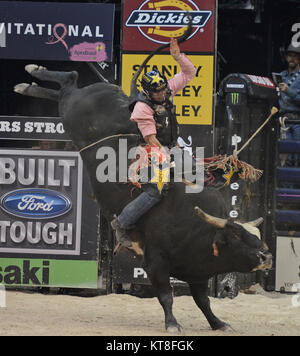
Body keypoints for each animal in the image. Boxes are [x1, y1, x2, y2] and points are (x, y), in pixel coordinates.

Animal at [13, 48, 272, 334]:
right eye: (237, 236)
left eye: (256, 235)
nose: (266, 256)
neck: (198, 227)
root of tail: (126, 100)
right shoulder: (155, 262)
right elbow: (166, 295)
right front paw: (172, 324)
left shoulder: (197, 272)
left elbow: (203, 301)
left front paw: (218, 323)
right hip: (74, 109)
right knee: (69, 81)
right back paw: (31, 76)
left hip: (73, 112)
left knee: (65, 86)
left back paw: (28, 82)